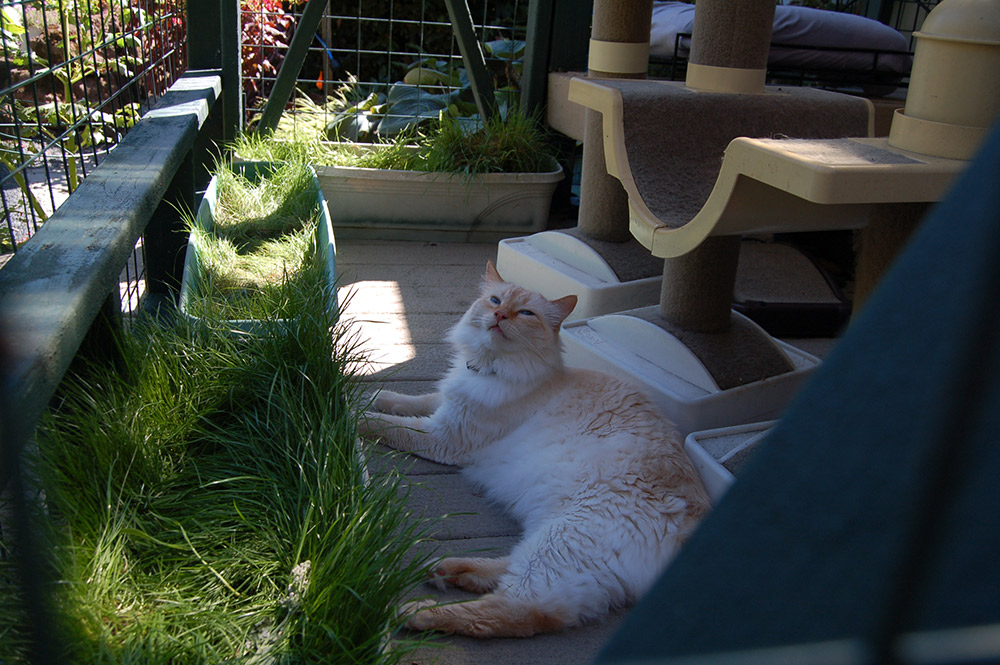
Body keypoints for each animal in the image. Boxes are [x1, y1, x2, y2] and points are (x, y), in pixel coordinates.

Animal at [360, 260, 712, 640]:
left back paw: (414, 611)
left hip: (561, 539)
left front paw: (351, 414)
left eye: (525, 313)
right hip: (547, 533)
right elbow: (416, 401)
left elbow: (387, 425)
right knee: (508, 570)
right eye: (496, 300)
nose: (500, 315)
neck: (489, 368)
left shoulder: (443, 436)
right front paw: (381, 396)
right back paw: (449, 569)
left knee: (517, 611)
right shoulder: (447, 406)